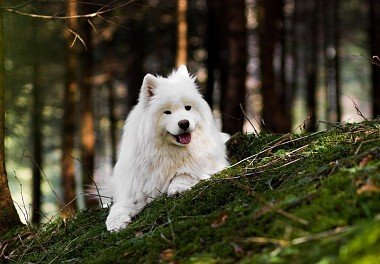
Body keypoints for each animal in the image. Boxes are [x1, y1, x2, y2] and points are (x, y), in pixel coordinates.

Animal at [104, 65, 229, 231]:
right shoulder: (136, 188)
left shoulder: (208, 164)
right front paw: (115, 223)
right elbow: (119, 207)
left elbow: (185, 173)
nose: (184, 123)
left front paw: (177, 187)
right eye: (167, 112)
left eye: (188, 108)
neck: (168, 152)